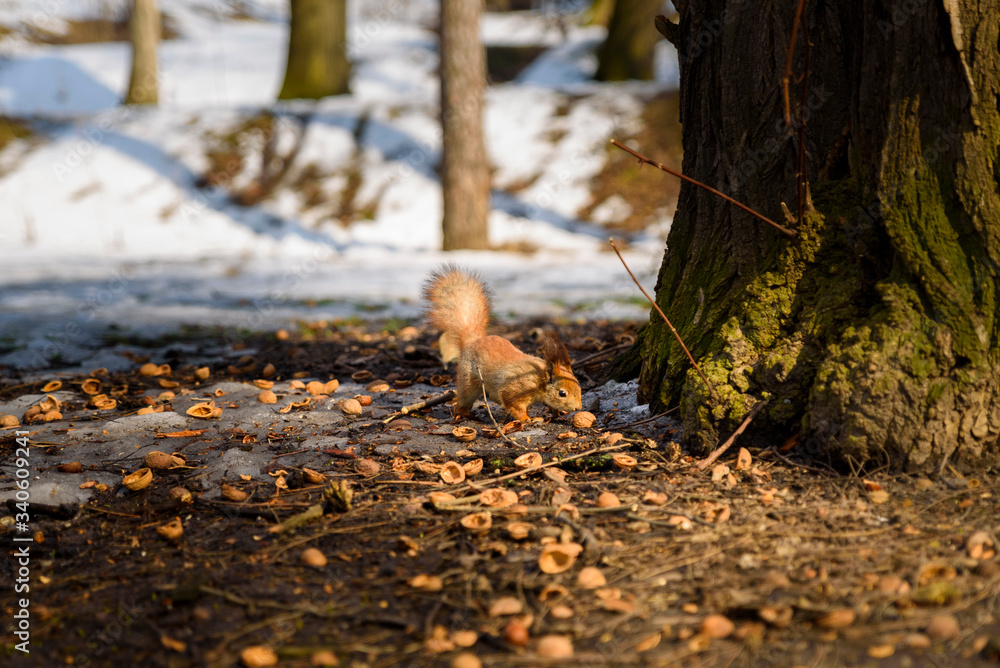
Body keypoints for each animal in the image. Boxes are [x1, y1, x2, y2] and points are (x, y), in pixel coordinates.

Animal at [423, 265, 582, 422]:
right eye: (562, 393)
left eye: (579, 386)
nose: (578, 408)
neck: (538, 380)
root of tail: (472, 341)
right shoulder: (515, 389)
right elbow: (514, 405)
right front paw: (526, 418)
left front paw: (556, 412)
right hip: (468, 381)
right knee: (463, 400)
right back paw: (464, 413)